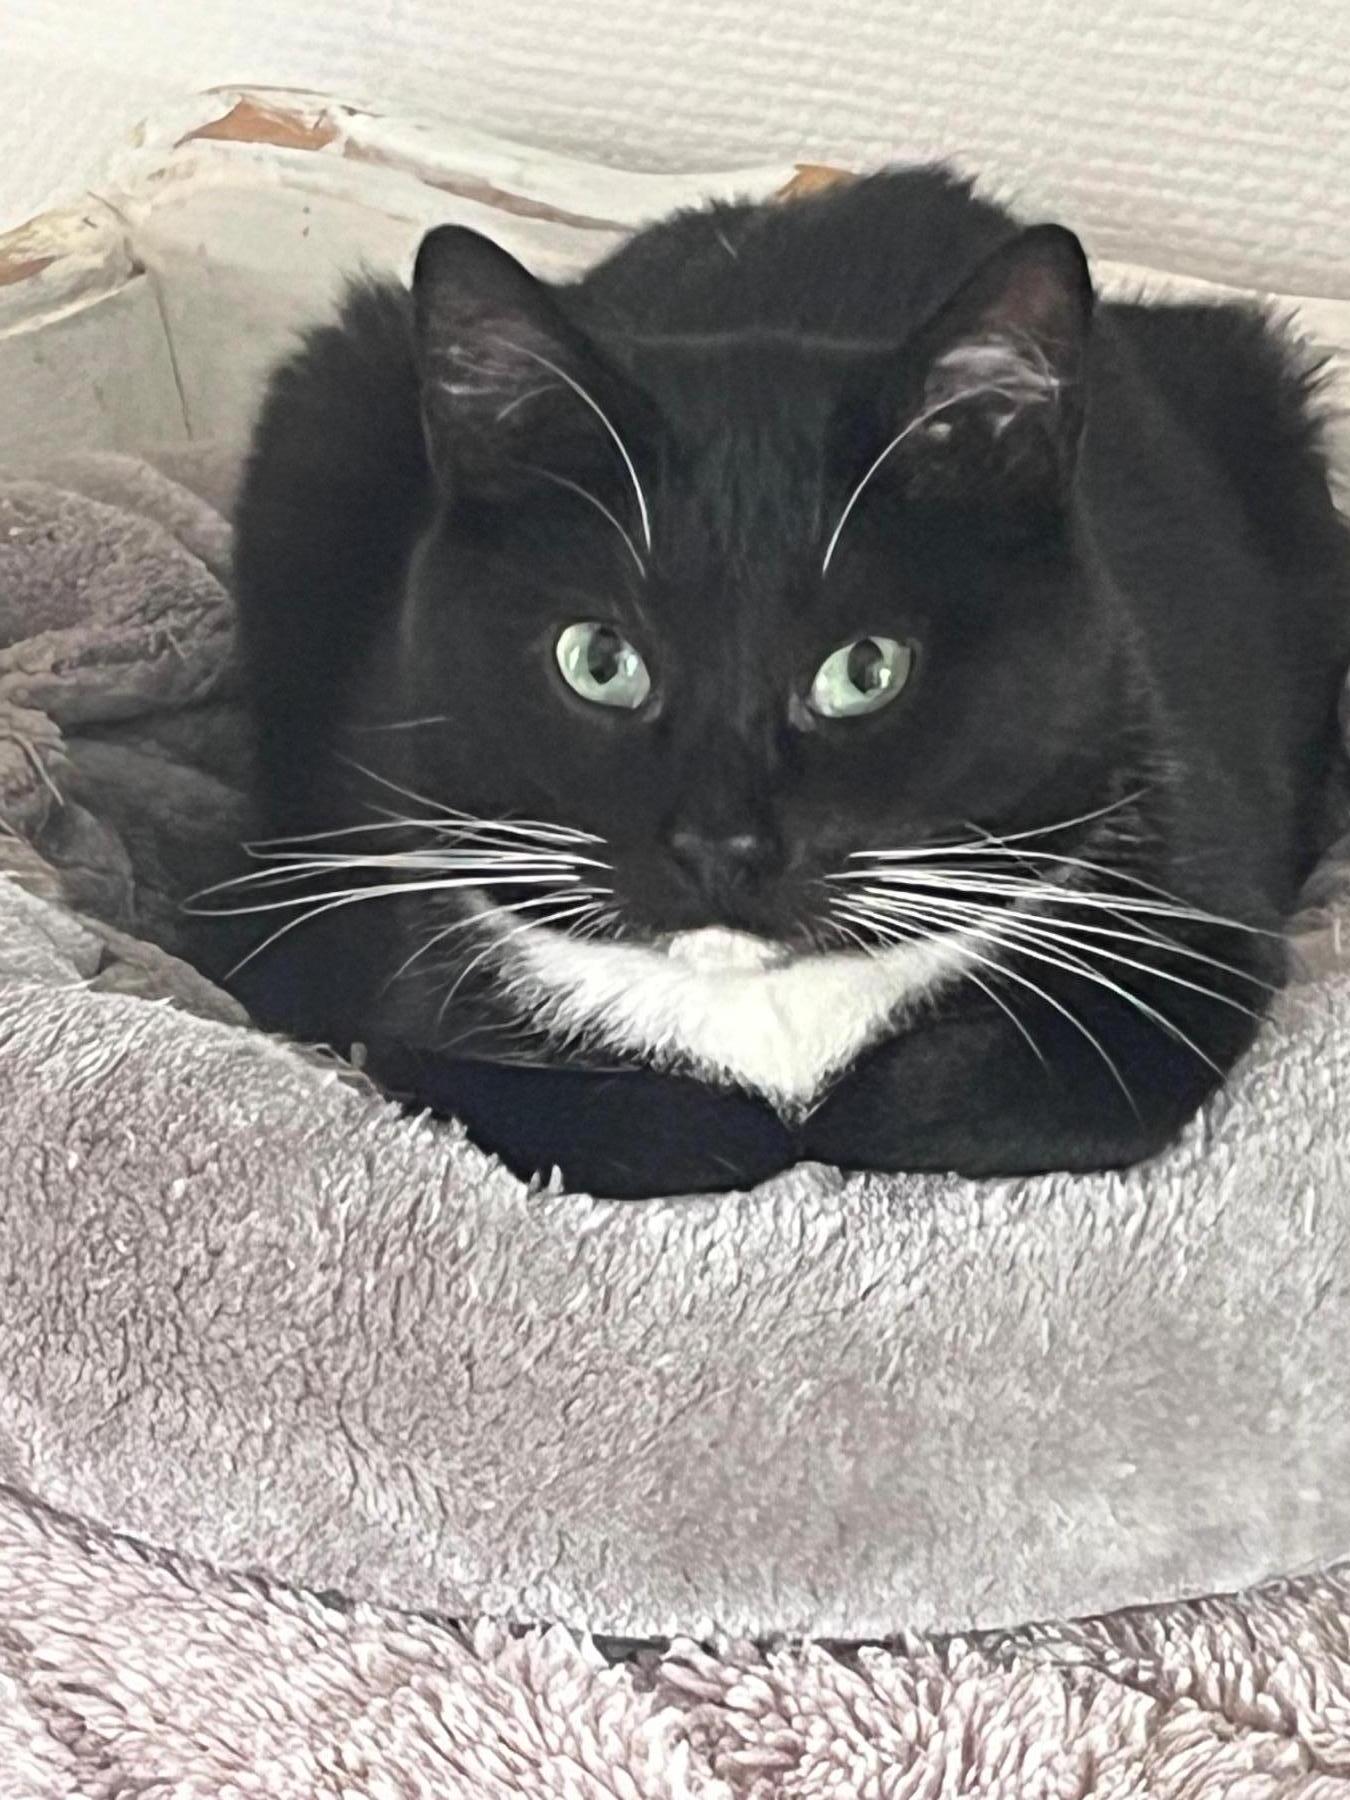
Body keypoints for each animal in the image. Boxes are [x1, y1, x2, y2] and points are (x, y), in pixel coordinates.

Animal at [223, 166, 1350, 1199]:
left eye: (866, 669)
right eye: (600, 661)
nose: (719, 844)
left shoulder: (1195, 916)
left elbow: (1042, 1092)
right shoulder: (410, 988)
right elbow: (598, 1117)